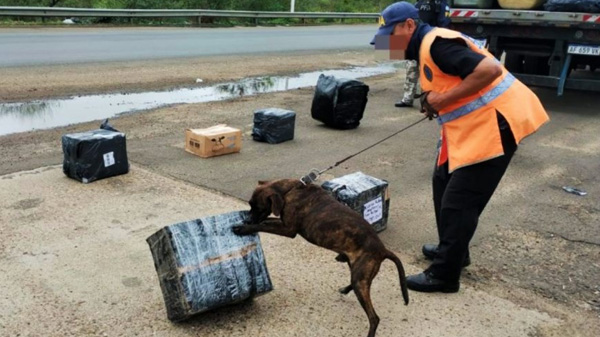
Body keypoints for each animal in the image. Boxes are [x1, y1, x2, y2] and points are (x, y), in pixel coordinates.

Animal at [232, 178, 410, 336]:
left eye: (258, 207)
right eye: (250, 204)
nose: (247, 218)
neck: (290, 190)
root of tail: (382, 249)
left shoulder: (288, 230)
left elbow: (263, 225)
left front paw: (243, 228)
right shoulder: (281, 222)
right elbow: (266, 222)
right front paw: (246, 224)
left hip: (361, 277)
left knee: (374, 318)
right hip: (358, 272)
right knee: (356, 284)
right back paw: (346, 287)